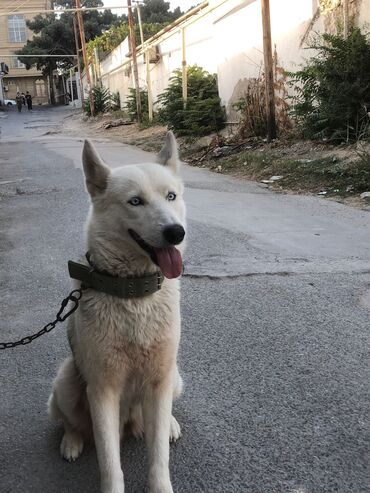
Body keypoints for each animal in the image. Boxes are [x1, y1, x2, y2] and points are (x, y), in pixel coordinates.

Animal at [48, 133, 186, 492]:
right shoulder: (102, 391)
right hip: (67, 382)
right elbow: (111, 464)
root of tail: (130, 423)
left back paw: (169, 425)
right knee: (71, 423)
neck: (133, 294)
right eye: (135, 202)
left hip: (175, 376)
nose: (176, 232)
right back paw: (71, 442)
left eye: (171, 196)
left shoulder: (160, 381)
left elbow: (158, 459)